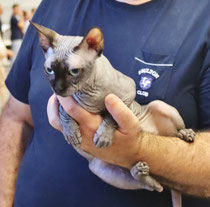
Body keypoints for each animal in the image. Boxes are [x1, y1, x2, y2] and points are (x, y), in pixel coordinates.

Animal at [31, 22, 195, 207]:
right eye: (50, 70)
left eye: (74, 71)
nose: (58, 88)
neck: (87, 93)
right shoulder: (60, 101)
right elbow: (63, 113)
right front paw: (71, 133)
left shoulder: (126, 95)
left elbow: (111, 116)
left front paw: (103, 136)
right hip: (107, 173)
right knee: (154, 186)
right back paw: (139, 171)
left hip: (161, 106)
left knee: (175, 133)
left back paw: (185, 133)